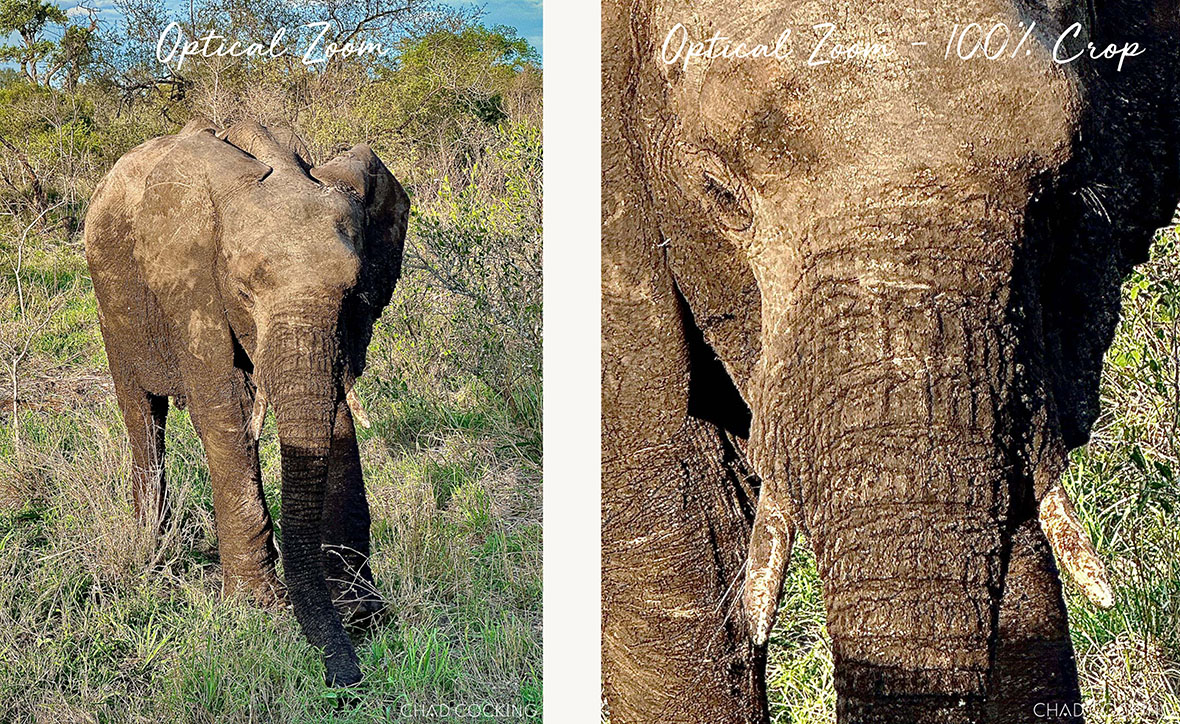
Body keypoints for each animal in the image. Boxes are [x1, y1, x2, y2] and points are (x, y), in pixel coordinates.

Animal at [83, 119, 409, 686]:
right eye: (244, 290)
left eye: (355, 291)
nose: (347, 679)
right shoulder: (191, 286)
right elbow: (226, 410)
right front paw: (259, 608)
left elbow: (336, 416)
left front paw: (360, 612)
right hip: (112, 306)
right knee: (143, 416)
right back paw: (152, 553)